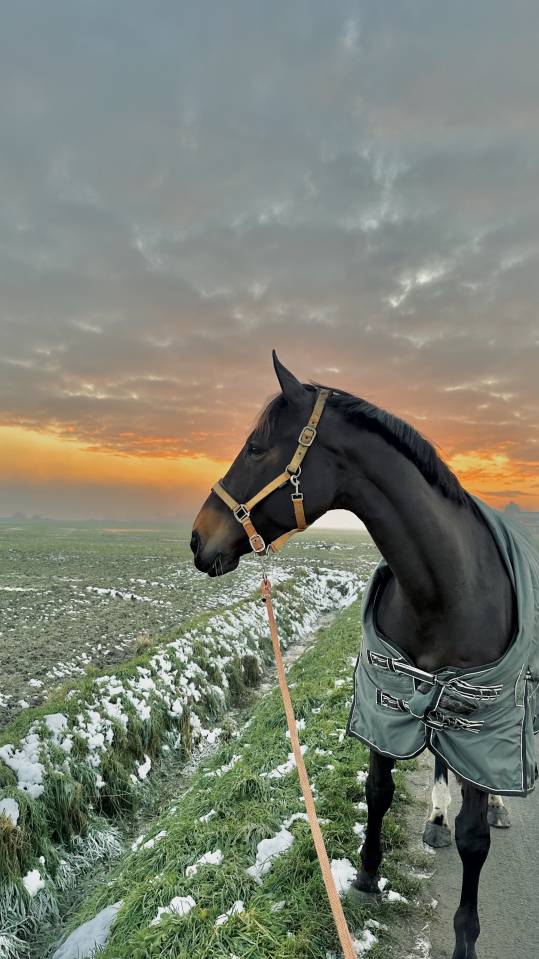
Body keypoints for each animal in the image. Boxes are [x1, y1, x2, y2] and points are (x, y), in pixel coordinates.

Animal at [191, 351, 538, 959]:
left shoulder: (481, 716)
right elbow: (378, 791)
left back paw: (494, 805)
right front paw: (367, 876)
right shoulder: (388, 699)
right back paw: (435, 818)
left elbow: (474, 840)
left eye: (256, 448)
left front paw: (465, 939)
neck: (445, 589)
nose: (197, 538)